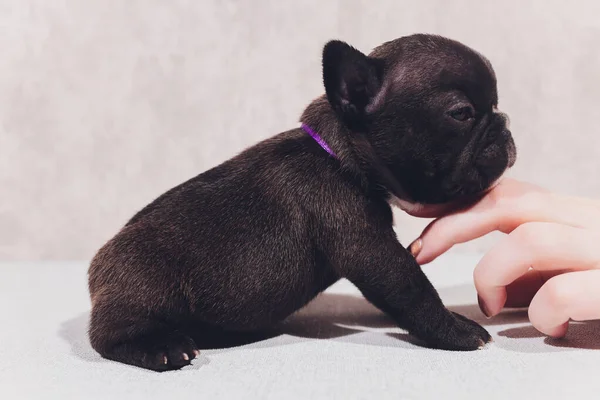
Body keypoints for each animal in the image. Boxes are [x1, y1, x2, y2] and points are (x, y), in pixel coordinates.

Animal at [88, 34, 516, 372]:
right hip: (144, 281)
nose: (505, 125)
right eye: (461, 114)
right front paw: (455, 329)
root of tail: (96, 277)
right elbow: (411, 287)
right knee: (108, 335)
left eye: (496, 105)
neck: (339, 158)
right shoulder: (364, 242)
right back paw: (161, 347)